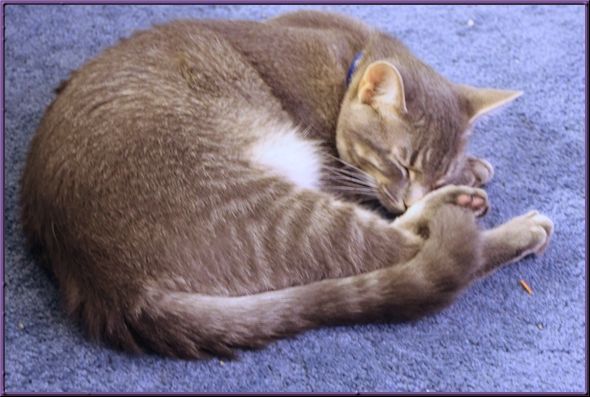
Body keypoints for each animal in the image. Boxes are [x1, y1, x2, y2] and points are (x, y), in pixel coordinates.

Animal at [19, 10, 556, 358]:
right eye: (400, 164)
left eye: (431, 169)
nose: (417, 192)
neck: (350, 52)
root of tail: (107, 283)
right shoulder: (337, 171)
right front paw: (465, 182)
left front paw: (471, 166)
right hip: (285, 210)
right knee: (409, 247)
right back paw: (502, 223)